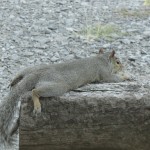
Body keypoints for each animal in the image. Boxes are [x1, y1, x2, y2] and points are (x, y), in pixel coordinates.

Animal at [0, 49, 129, 145]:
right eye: (118, 62)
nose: (123, 67)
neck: (102, 59)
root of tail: (36, 74)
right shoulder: (104, 74)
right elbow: (112, 78)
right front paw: (126, 76)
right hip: (58, 86)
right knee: (35, 91)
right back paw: (37, 106)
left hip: (31, 69)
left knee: (20, 73)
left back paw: (13, 80)